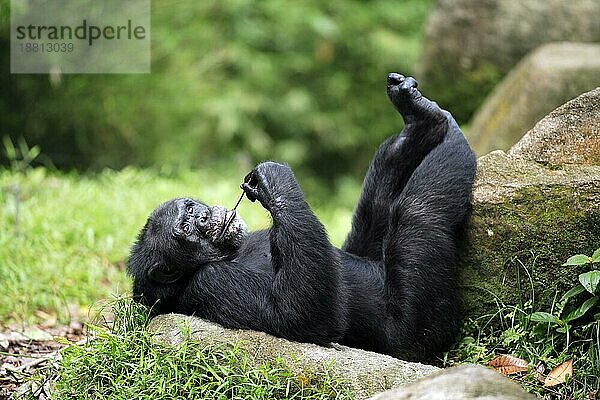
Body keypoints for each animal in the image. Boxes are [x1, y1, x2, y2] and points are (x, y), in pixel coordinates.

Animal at [127, 73, 478, 360]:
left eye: (188, 208)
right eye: (186, 228)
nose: (202, 216)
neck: (233, 254)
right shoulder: (209, 284)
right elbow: (298, 315)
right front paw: (274, 181)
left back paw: (420, 120)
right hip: (421, 328)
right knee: (418, 213)